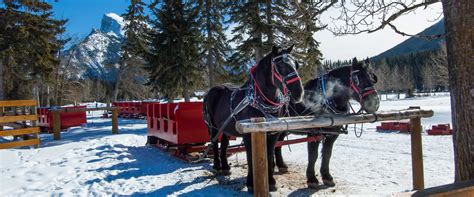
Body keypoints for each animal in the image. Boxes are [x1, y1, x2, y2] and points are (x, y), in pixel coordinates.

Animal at [202, 45, 302, 192]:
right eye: (280, 66)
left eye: (296, 64)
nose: (298, 92)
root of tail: (209, 91)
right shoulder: (248, 134)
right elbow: (250, 157)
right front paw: (250, 182)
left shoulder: (272, 134)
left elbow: (268, 155)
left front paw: (271, 182)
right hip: (212, 126)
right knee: (214, 143)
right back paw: (216, 166)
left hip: (225, 127)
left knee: (224, 144)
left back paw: (225, 167)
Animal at [272, 57, 380, 188]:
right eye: (356, 79)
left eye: (372, 78)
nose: (374, 103)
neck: (327, 100)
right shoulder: (313, 134)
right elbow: (313, 156)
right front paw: (312, 179)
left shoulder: (332, 135)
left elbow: (327, 154)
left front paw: (327, 176)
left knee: (278, 144)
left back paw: (281, 165)